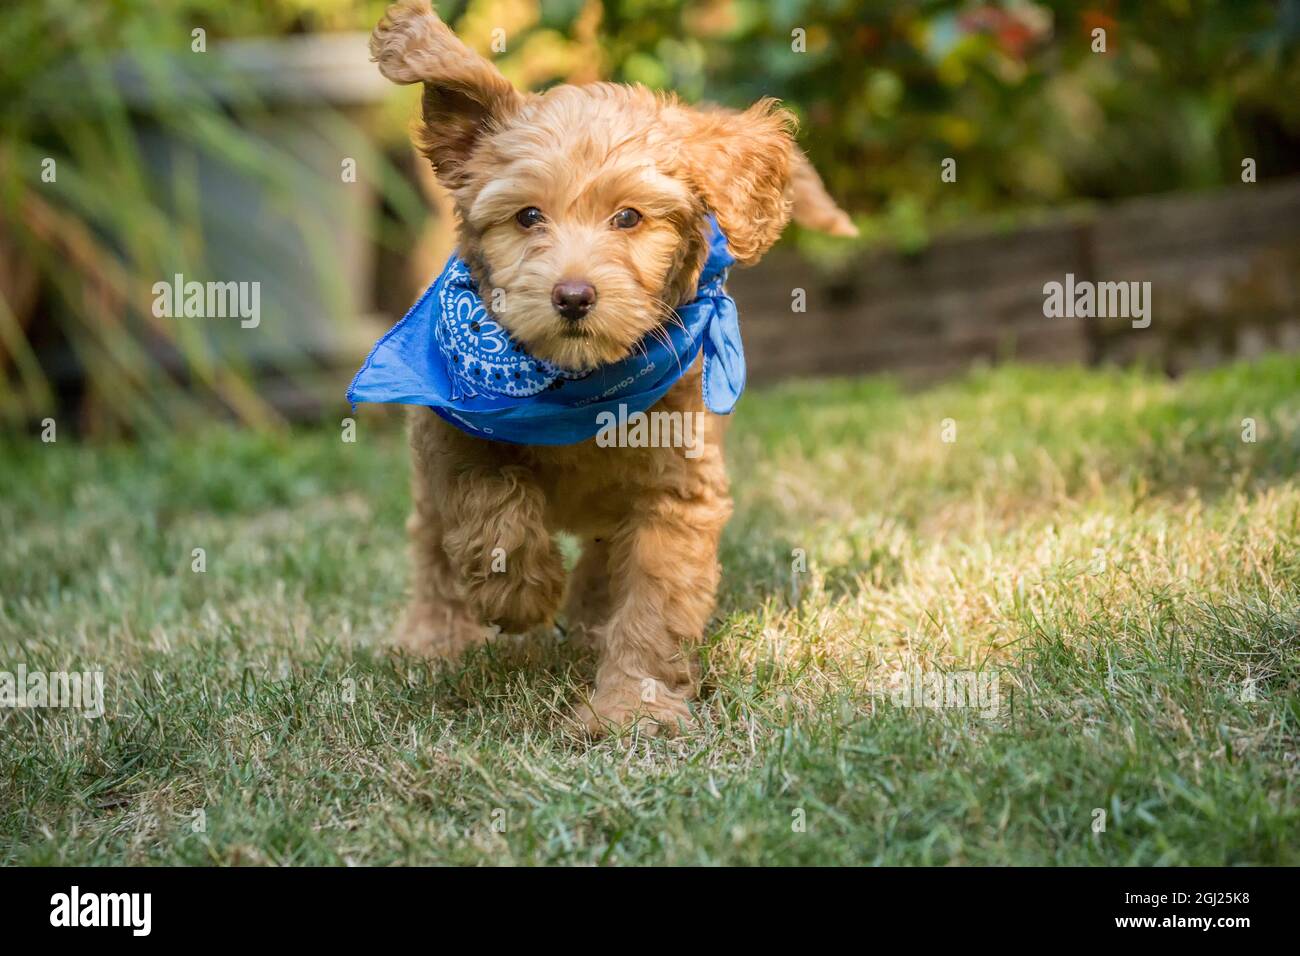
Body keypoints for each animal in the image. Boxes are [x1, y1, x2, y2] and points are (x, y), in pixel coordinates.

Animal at [371, 0, 852, 738]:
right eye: (528, 216)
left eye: (629, 217)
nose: (572, 296)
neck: (578, 389)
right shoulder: (451, 432)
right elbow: (491, 504)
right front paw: (521, 593)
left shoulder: (677, 490)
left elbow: (653, 604)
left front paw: (631, 707)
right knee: (430, 544)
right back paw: (435, 637)